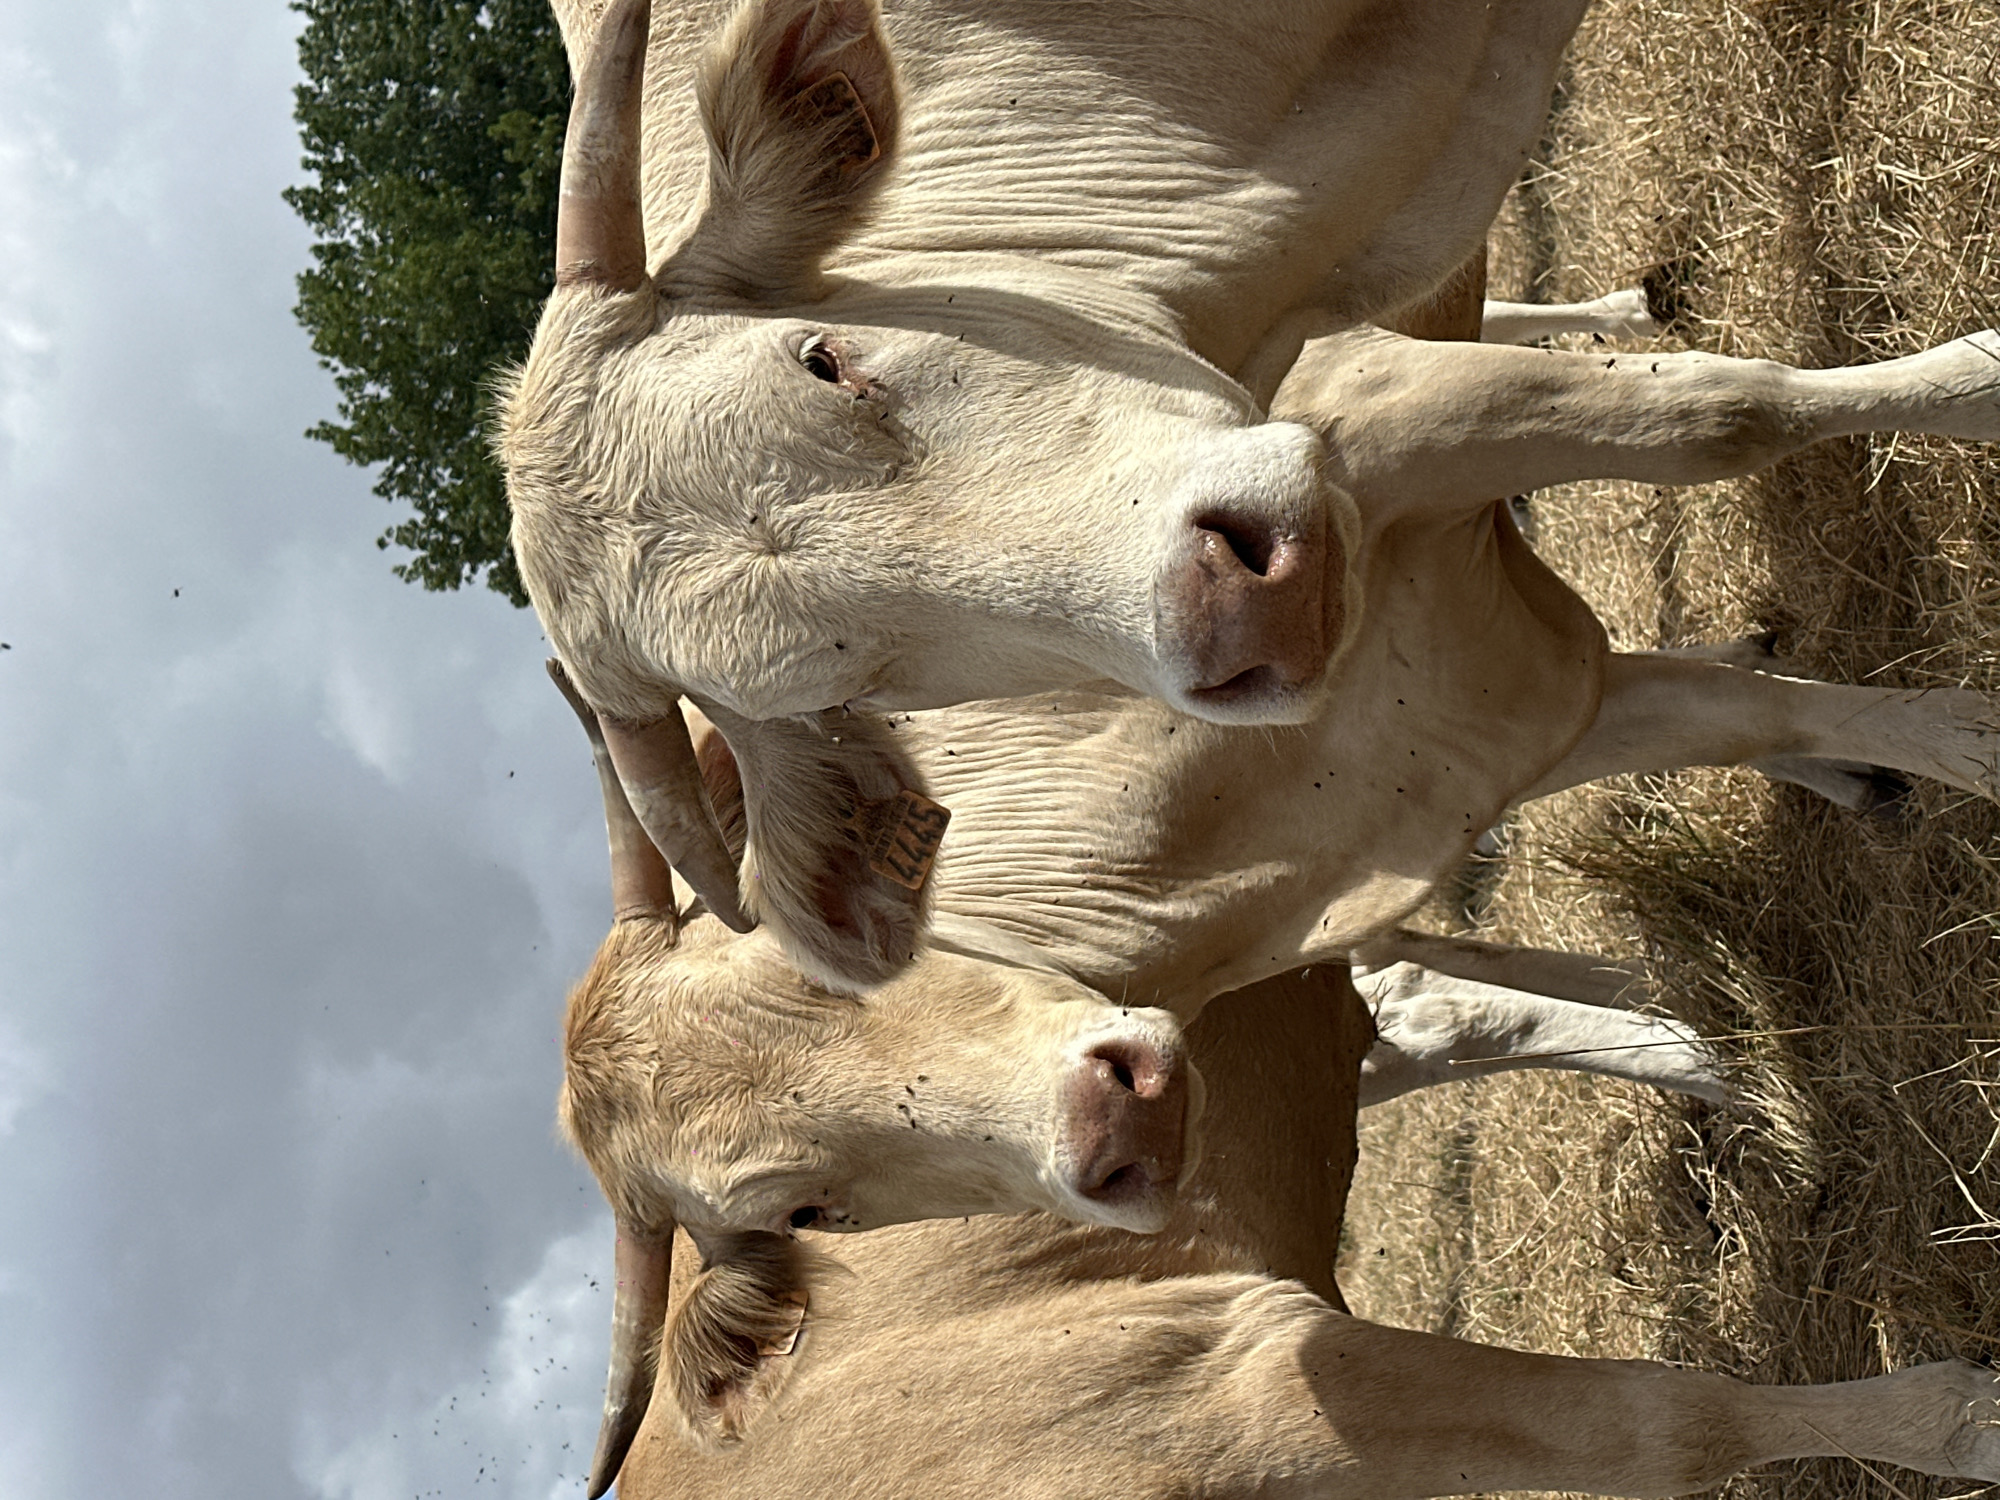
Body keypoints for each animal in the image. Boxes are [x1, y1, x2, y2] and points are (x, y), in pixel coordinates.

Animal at [499, 0, 2000, 991]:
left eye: (824, 359)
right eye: (843, 680)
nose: (1230, 608)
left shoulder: (1389, 397)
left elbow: (1715, 412)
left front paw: (1980, 377)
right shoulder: (1498, 716)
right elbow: (1739, 703)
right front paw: (1946, 745)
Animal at [591, 964, 2000, 1498]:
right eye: (793, 1209)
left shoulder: (1246, 1378)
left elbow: (1665, 1428)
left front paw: (1971, 1421)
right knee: (1442, 1011)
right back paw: (1748, 1081)